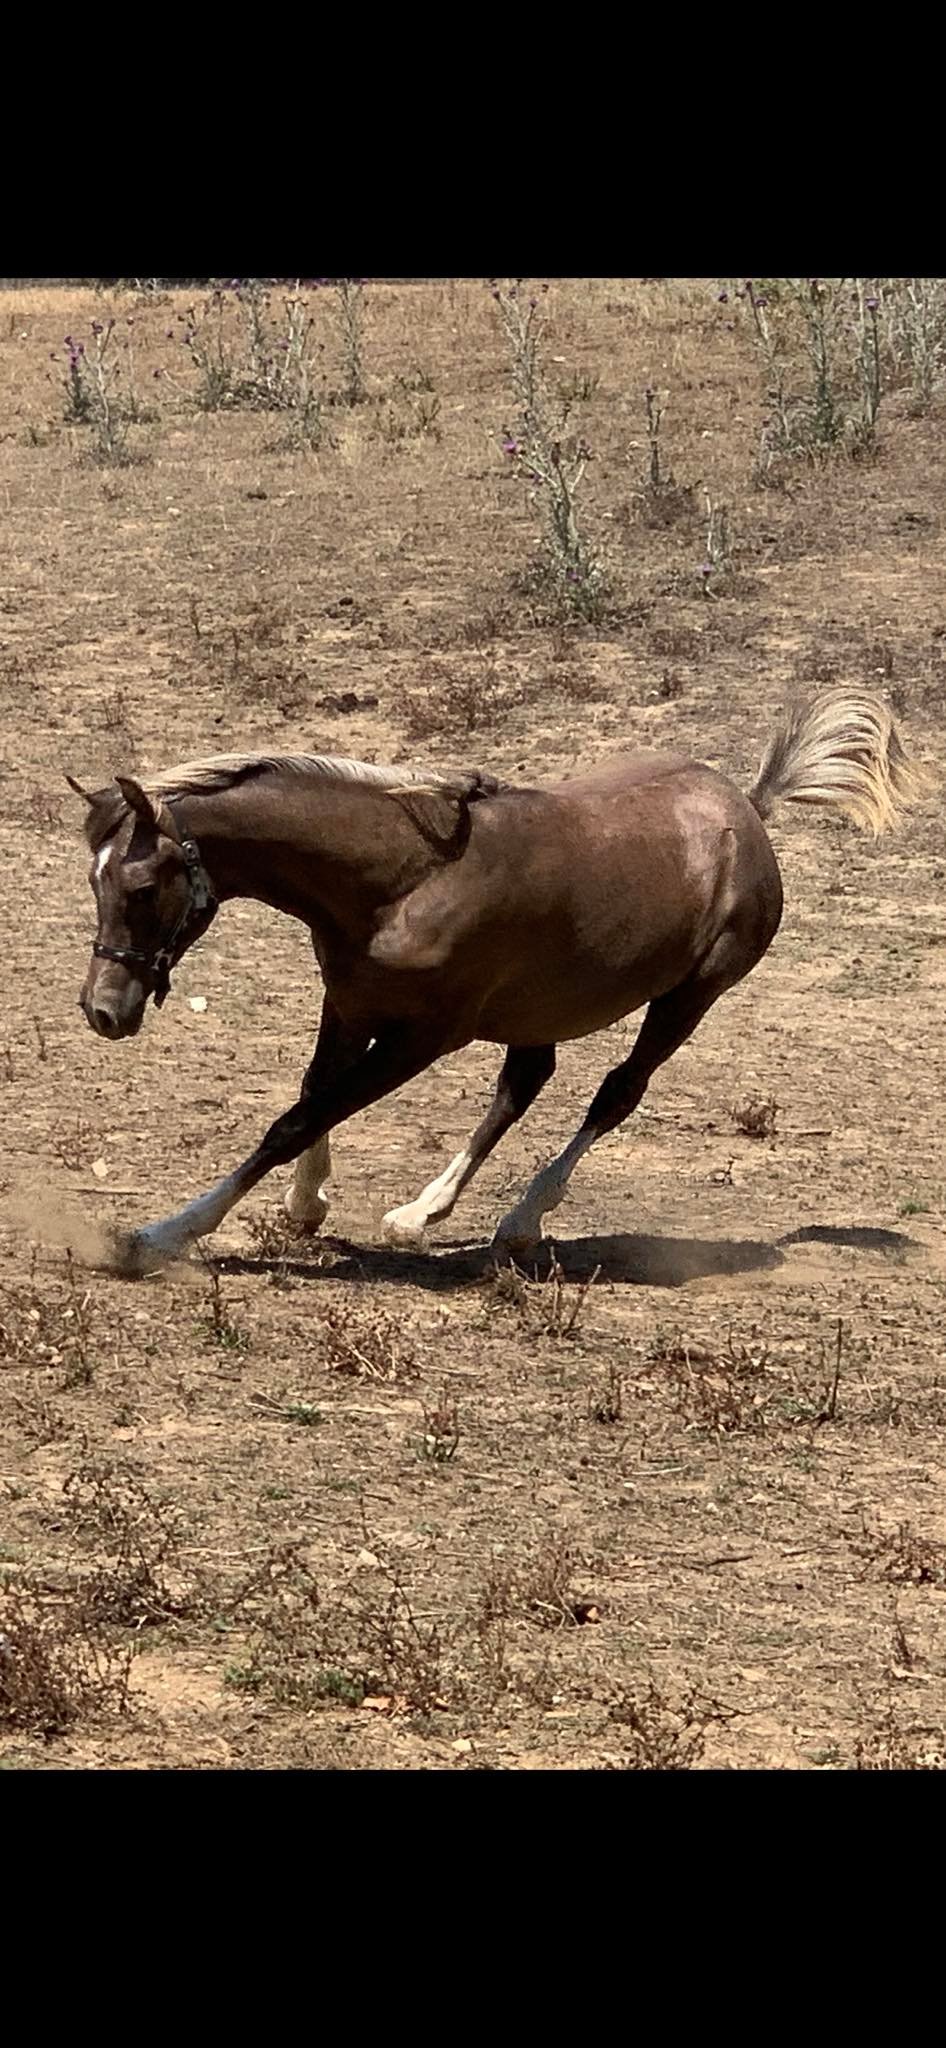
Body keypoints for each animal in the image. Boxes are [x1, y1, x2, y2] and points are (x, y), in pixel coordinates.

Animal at [68, 688, 926, 1277]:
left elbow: (296, 1120)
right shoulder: (348, 1002)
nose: (102, 1010)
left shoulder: (422, 1037)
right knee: (522, 1086)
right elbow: (313, 1099)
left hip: (689, 998)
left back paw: (521, 1220)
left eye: (139, 886)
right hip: (540, 1007)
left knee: (615, 1094)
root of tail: (747, 808)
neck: (402, 880)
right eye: (94, 877)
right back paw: (423, 1211)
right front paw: (307, 1206)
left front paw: (158, 1237)